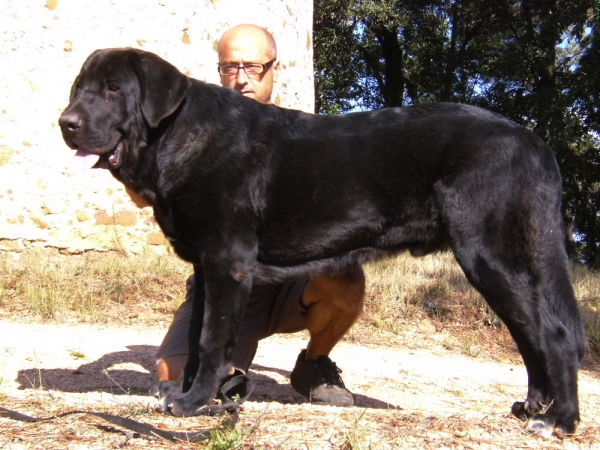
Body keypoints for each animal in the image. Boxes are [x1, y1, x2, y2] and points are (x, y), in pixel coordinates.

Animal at [58, 48, 584, 436]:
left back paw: (559, 421)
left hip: (489, 254)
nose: (66, 122)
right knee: (530, 335)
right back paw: (534, 406)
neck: (176, 135)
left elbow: (209, 339)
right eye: (79, 88)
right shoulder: (206, 268)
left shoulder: (227, 261)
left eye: (113, 89)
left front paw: (192, 403)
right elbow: (195, 336)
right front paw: (192, 398)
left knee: (555, 335)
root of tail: (530, 139)